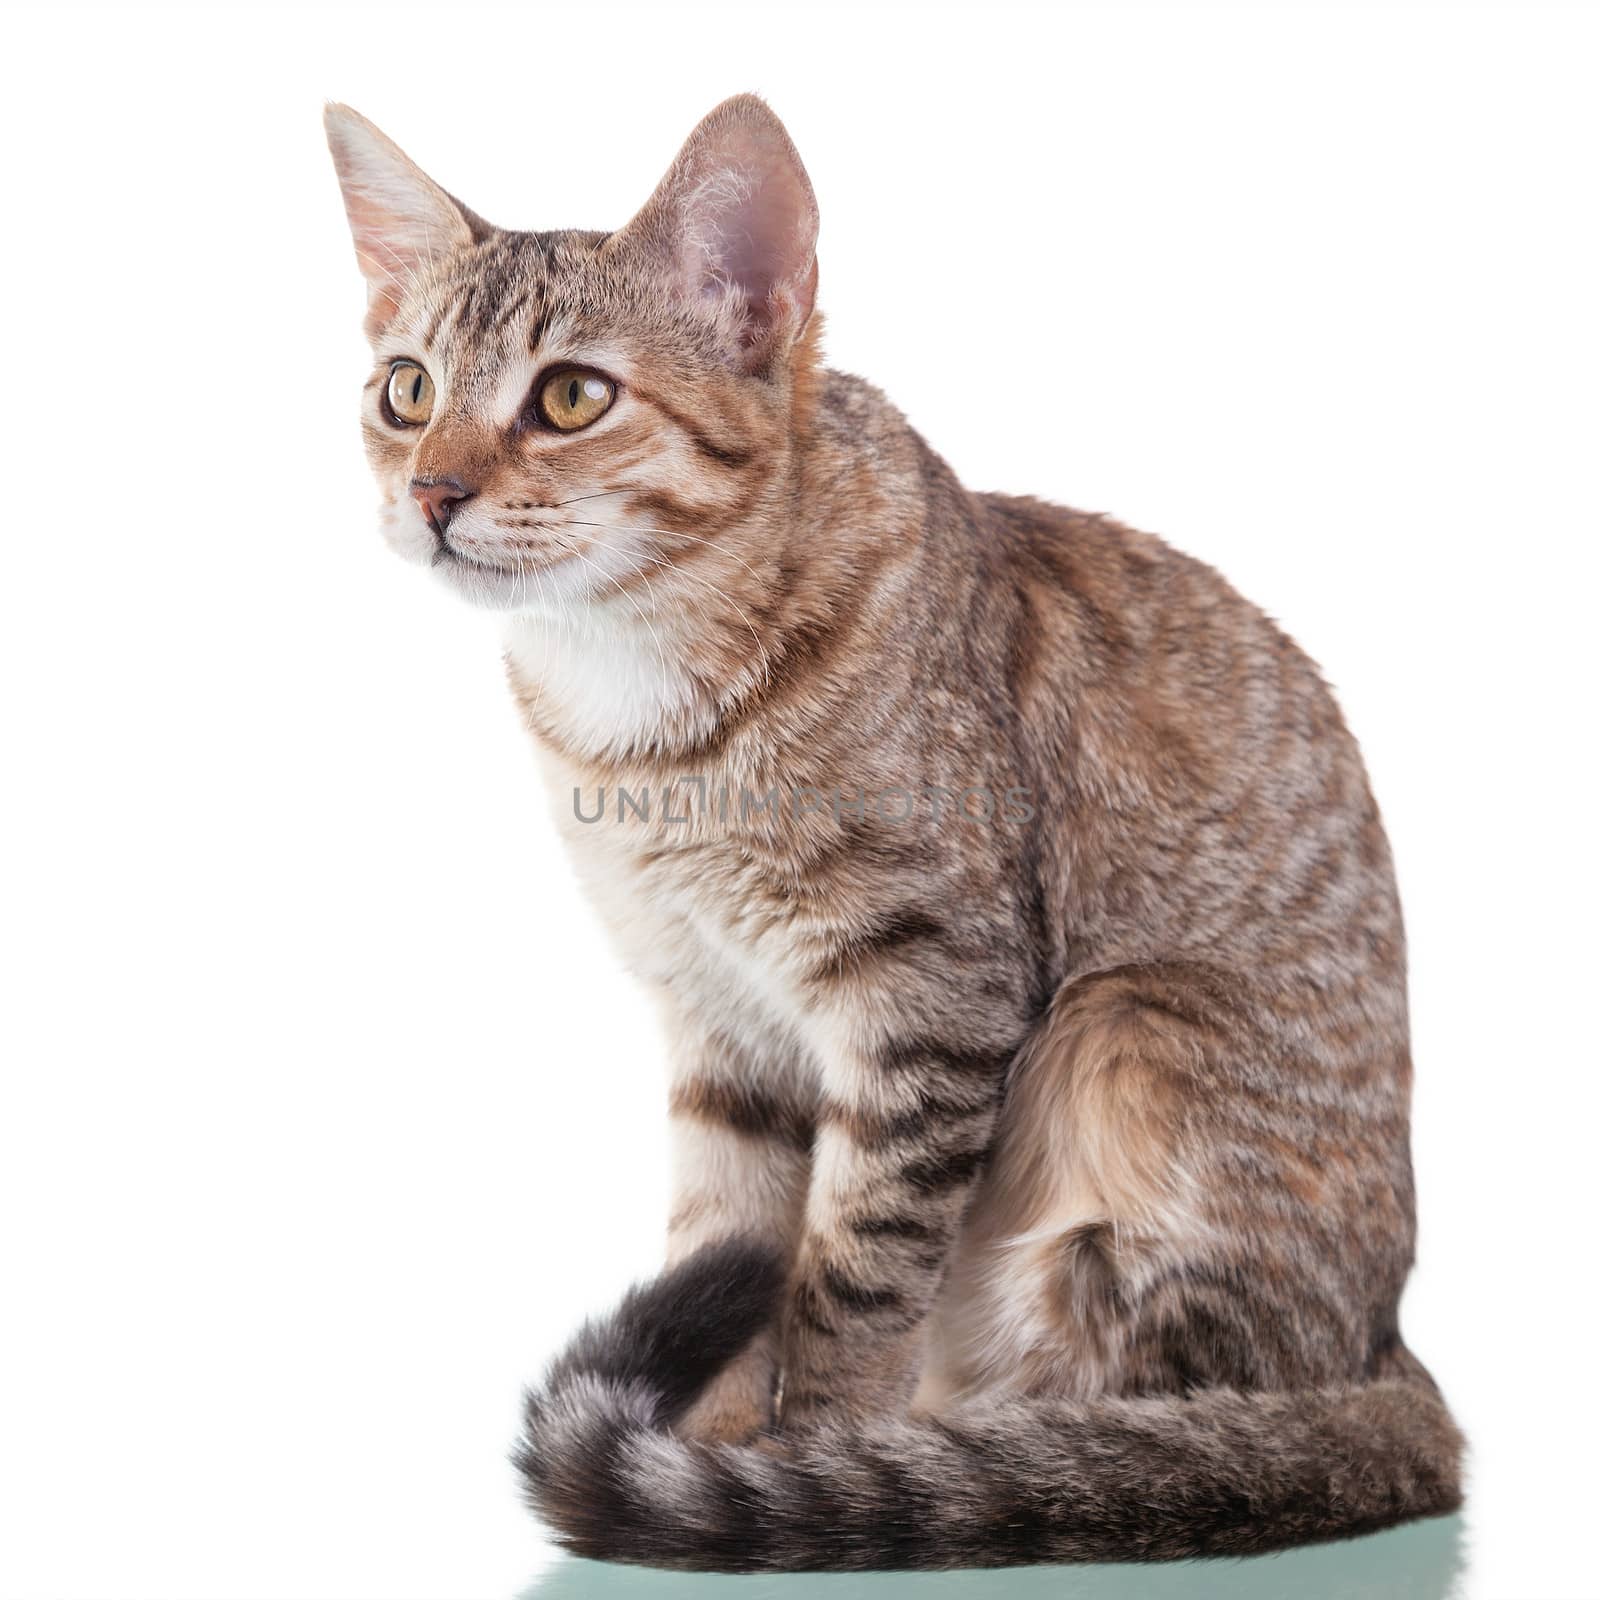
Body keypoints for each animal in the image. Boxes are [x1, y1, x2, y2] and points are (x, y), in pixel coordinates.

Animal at [321, 93, 1465, 1568]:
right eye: (406, 390)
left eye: (572, 396)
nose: (432, 493)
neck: (647, 708)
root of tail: (1390, 1347)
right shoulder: (713, 1012)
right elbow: (728, 1229)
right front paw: (707, 1446)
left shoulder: (932, 993)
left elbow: (853, 1276)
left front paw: (808, 1459)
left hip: (1125, 1037)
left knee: (1167, 1411)